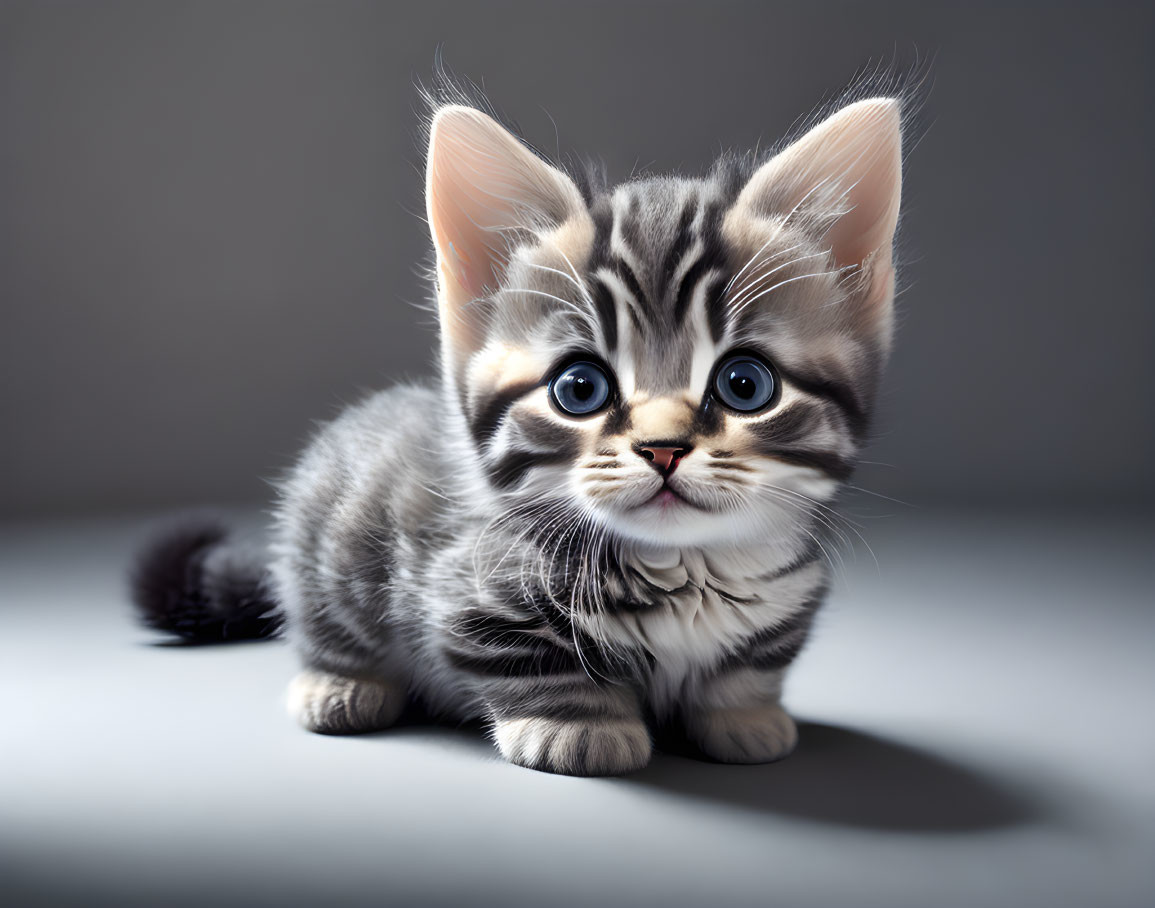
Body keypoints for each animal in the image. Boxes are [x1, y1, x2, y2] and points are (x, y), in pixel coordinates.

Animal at [135, 91, 905, 776]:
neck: (681, 569)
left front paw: (745, 717)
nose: (663, 447)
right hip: (327, 546)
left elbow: (752, 664)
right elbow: (533, 661)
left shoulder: (789, 598)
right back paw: (339, 685)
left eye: (746, 384)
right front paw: (578, 727)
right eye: (579, 388)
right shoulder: (464, 590)